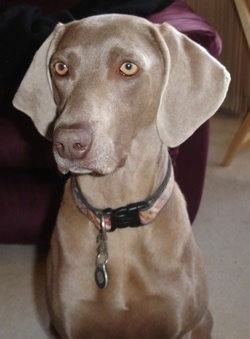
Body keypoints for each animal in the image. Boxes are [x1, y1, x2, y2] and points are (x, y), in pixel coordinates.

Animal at [12, 13, 229, 339]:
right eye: (60, 68)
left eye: (128, 67)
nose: (68, 142)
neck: (117, 210)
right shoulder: (68, 326)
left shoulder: (179, 326)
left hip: (204, 321)